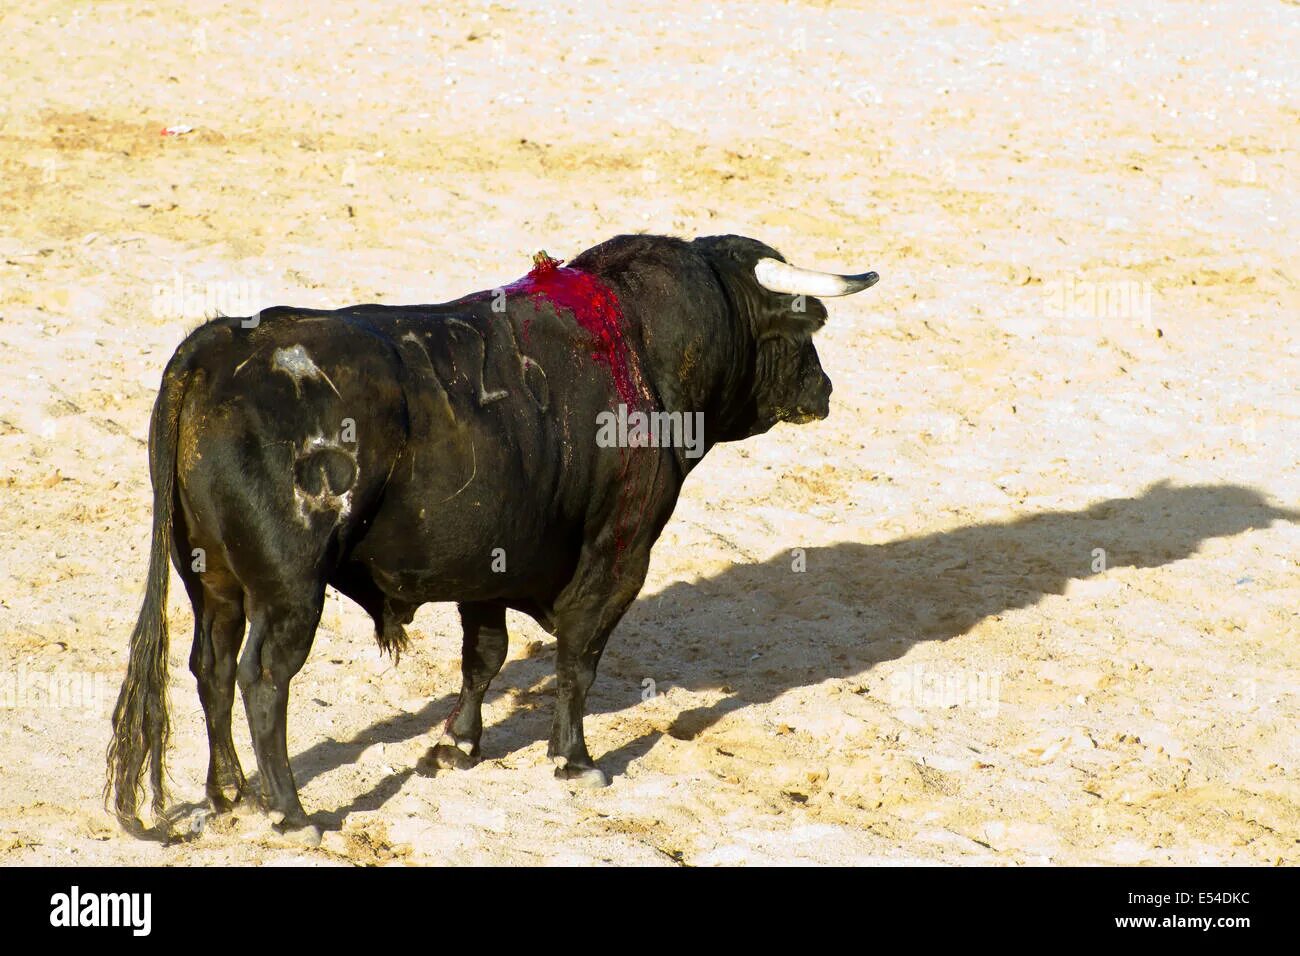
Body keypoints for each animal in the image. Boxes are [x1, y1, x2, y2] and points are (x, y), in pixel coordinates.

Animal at [106, 231, 878, 837]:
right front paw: (574, 759)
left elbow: (484, 656)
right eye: (807, 329)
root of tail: (217, 344)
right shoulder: (618, 555)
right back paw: (290, 812)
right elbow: (578, 656)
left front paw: (456, 746)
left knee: (209, 667)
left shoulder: (485, 562)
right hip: (291, 591)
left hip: (212, 580)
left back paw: (227, 792)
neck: (645, 351)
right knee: (263, 679)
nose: (825, 390)